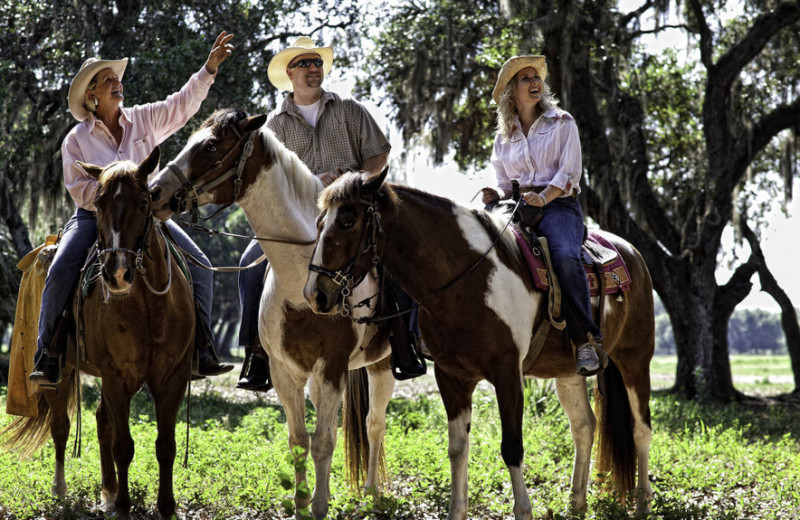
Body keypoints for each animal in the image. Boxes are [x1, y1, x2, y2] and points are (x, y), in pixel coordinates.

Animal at [2, 148, 195, 516]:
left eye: (144, 202)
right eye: (99, 203)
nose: (117, 273)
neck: (146, 304)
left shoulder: (171, 376)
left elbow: (165, 444)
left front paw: (165, 506)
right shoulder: (116, 375)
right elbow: (124, 445)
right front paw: (124, 506)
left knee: (101, 421)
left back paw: (107, 492)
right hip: (62, 372)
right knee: (62, 428)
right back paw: (61, 490)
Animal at [147, 107, 396, 516]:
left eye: (211, 146)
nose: (154, 192)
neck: (303, 281)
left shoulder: (332, 366)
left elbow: (324, 441)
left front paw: (320, 507)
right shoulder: (284, 372)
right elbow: (300, 440)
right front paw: (302, 505)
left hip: (382, 365)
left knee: (375, 424)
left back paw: (373, 493)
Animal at [304, 171, 652, 520]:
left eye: (347, 221)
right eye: (319, 222)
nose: (314, 294)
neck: (469, 278)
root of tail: (632, 253)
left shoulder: (507, 374)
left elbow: (512, 447)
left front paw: (523, 510)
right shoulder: (452, 377)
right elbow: (458, 448)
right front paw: (457, 511)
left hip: (635, 360)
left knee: (640, 428)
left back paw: (642, 503)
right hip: (567, 372)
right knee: (584, 426)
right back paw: (577, 502)